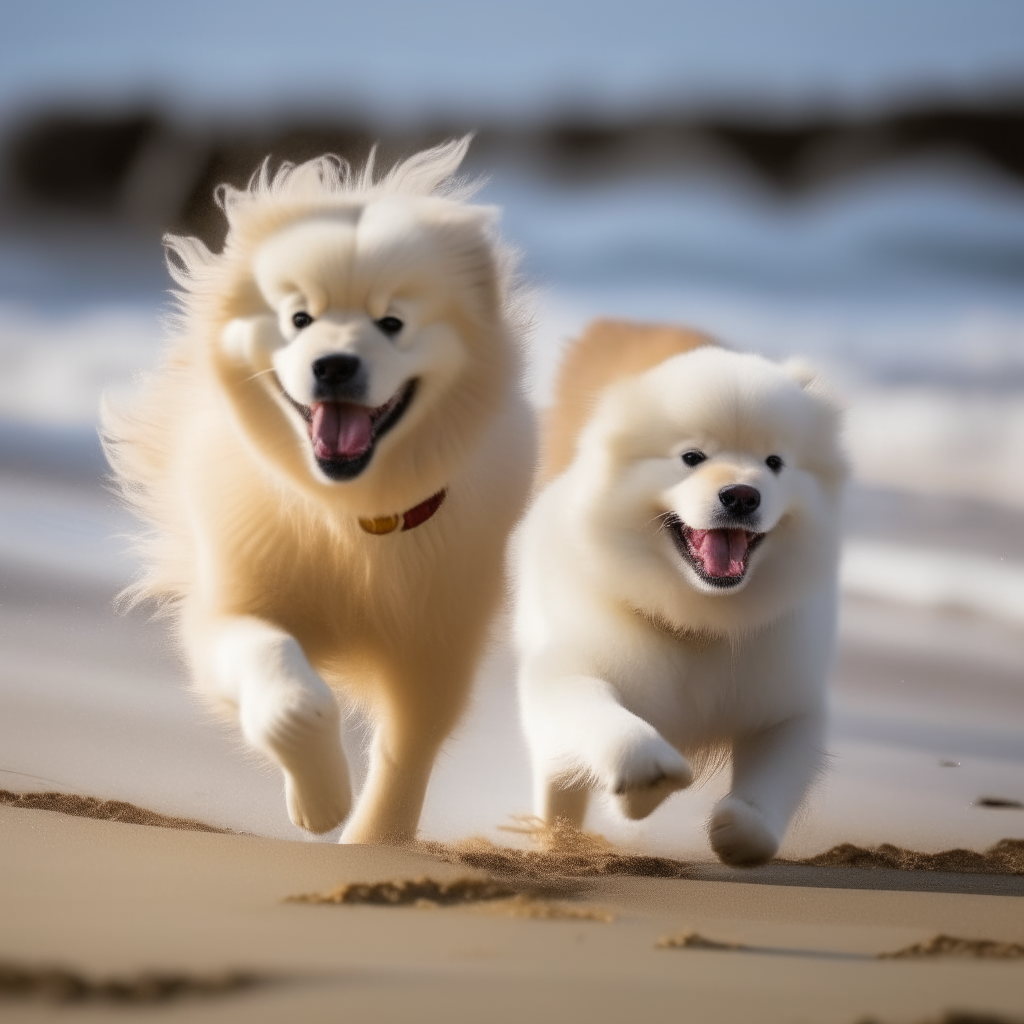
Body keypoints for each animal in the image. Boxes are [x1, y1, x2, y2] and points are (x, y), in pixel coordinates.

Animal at [103, 140, 536, 843]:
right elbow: (282, 675)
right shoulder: (234, 602)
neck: (350, 517)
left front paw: (371, 839)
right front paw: (322, 796)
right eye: (298, 318)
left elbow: (409, 744)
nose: (333, 365)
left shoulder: (438, 639)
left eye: (393, 322)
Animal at [516, 319, 843, 864]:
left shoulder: (786, 703)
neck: (699, 620)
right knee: (558, 781)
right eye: (692, 457)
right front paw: (642, 774)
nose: (741, 494)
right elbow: (597, 711)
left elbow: (774, 777)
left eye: (774, 462)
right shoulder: (567, 668)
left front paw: (744, 829)